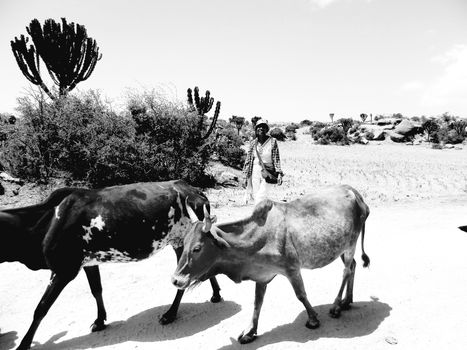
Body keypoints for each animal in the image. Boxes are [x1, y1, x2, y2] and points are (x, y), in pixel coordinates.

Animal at [0, 180, 223, 350]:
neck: (48, 220)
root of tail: (192, 189)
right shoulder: (88, 263)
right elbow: (96, 290)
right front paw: (100, 320)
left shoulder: (64, 270)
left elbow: (41, 308)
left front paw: (24, 344)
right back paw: (215, 294)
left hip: (180, 242)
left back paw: (170, 314)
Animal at [174, 185, 372, 344]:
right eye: (184, 243)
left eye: (197, 248)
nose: (175, 279)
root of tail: (355, 193)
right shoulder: (261, 276)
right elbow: (257, 302)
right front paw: (250, 331)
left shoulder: (292, 269)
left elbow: (301, 295)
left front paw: (313, 319)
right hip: (342, 249)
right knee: (353, 266)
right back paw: (347, 301)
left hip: (351, 244)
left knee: (346, 271)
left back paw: (337, 306)